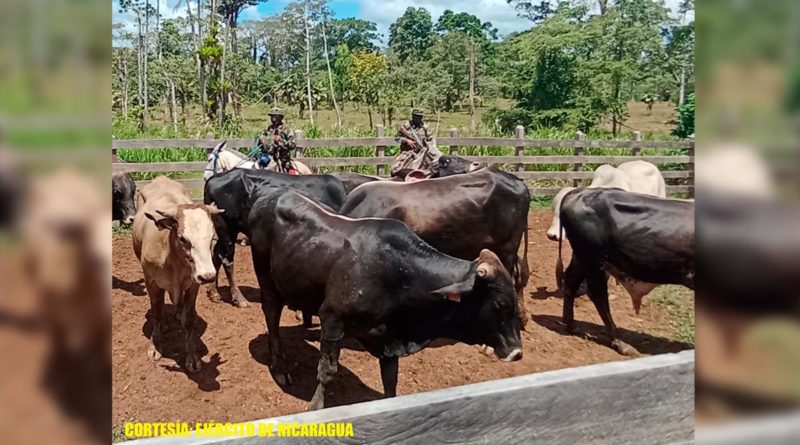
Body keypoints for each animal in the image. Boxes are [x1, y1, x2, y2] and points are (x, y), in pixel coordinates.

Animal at [132, 175, 222, 372]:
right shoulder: (151, 281)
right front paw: (155, 346)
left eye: (212, 237)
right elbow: (157, 312)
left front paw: (192, 357)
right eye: (182, 238)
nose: (208, 276)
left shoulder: (193, 284)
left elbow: (188, 320)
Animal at [202, 168, 346, 306]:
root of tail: (214, 177)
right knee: (227, 260)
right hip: (226, 227)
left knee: (216, 253)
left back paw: (214, 292)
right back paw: (239, 298)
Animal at [250, 189, 524, 408]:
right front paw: (316, 406)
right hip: (266, 278)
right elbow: (327, 371)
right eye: (500, 303)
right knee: (271, 315)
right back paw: (279, 367)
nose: (517, 352)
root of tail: (271, 196)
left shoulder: (390, 340)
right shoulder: (331, 320)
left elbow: (390, 381)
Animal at [556, 187, 692, 354]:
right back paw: (618, 342)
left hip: (582, 257)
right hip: (593, 259)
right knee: (598, 294)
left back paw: (570, 326)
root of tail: (581, 192)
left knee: (571, 281)